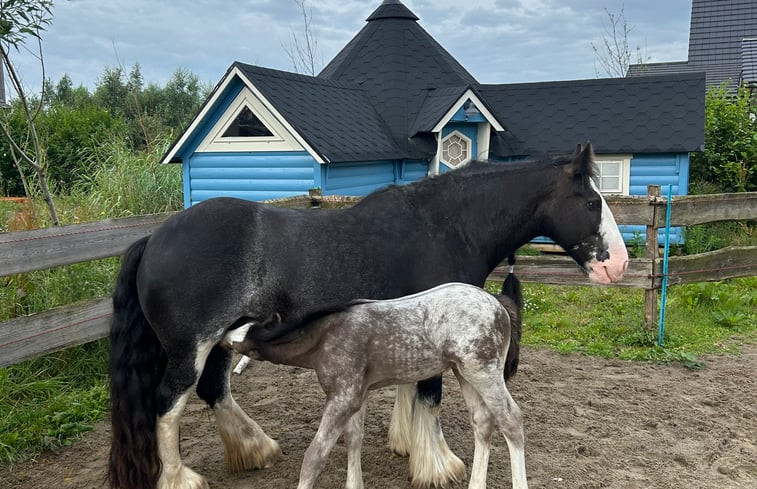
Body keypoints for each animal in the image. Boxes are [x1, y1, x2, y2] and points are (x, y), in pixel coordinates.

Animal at [108, 142, 628, 488]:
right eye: (591, 201)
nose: (618, 265)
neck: (447, 224)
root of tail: (153, 238)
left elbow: (407, 389)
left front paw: (404, 443)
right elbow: (429, 396)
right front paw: (436, 464)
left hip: (222, 340)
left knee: (215, 391)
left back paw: (256, 449)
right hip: (189, 349)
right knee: (168, 406)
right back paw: (181, 478)